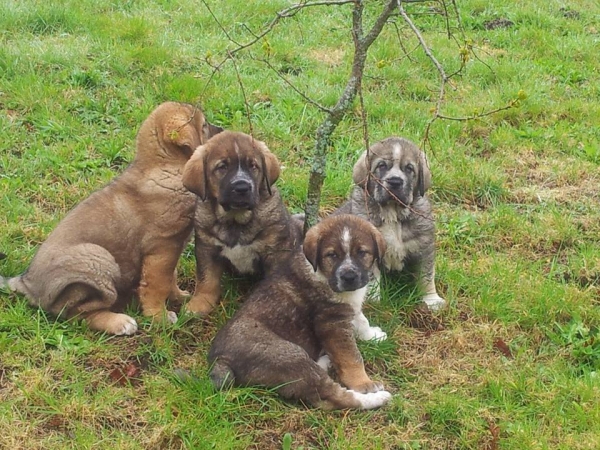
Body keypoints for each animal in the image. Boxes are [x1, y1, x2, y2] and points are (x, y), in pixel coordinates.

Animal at [0, 101, 223, 334]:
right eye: (204, 126)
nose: (222, 129)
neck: (165, 168)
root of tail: (26, 283)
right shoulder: (162, 247)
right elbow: (157, 285)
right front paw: (158, 317)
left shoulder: (169, 249)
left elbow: (171, 276)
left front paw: (179, 296)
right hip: (98, 259)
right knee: (77, 314)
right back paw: (120, 322)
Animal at [209, 215, 392, 412]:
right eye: (332, 255)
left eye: (362, 253)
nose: (349, 277)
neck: (322, 274)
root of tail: (220, 359)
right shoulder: (332, 323)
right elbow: (351, 357)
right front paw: (364, 384)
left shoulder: (348, 310)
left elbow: (361, 320)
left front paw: (373, 336)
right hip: (289, 355)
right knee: (331, 396)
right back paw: (377, 398)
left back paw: (325, 361)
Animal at [338, 135, 446, 314]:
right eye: (381, 166)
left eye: (409, 169)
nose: (395, 181)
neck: (392, 214)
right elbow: (371, 278)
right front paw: (373, 301)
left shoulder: (425, 246)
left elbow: (427, 274)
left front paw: (431, 300)